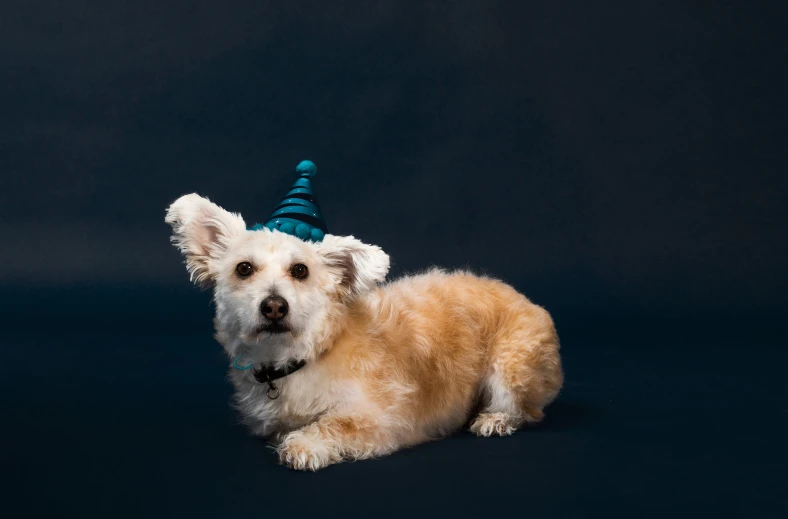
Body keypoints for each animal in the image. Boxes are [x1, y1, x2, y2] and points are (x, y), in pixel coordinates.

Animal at [166, 194, 564, 472]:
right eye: (244, 269)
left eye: (300, 270)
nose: (274, 306)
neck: (302, 355)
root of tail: (526, 299)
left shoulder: (382, 419)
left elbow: (334, 424)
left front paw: (303, 445)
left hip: (512, 368)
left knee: (527, 411)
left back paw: (495, 418)